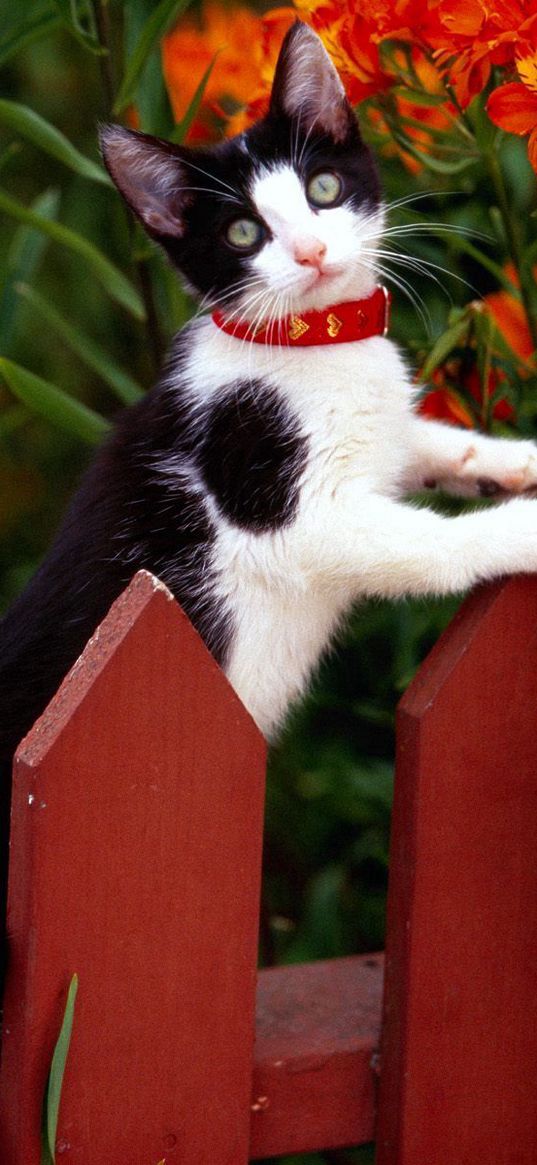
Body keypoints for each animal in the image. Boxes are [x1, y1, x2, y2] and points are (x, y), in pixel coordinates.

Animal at [1, 22, 535, 768]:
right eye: (243, 232)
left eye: (324, 187)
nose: (311, 251)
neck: (313, 343)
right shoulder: (277, 502)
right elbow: (425, 544)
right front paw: (521, 526)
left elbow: (416, 438)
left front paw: (512, 461)